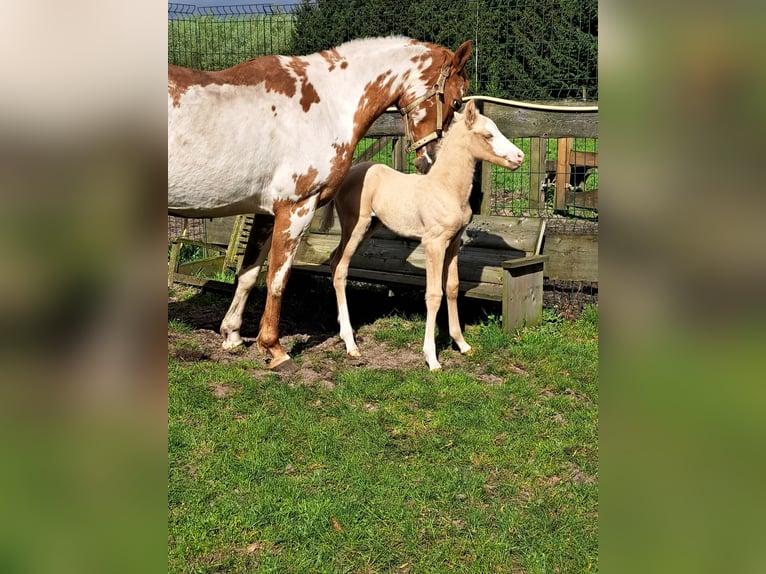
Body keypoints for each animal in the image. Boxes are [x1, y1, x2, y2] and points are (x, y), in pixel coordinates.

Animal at [168, 36, 474, 372]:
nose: (430, 160)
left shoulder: (266, 213)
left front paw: (232, 335)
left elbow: (249, 274)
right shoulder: (296, 208)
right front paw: (275, 349)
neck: (326, 105)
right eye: (456, 101)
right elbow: (278, 279)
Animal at [324, 100, 528, 372]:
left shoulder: (453, 243)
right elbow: (433, 295)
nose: (520, 157)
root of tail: (348, 174)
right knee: (340, 268)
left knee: (335, 261)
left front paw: (462, 344)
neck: (446, 188)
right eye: (488, 135)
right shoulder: (433, 243)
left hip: (368, 228)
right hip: (355, 226)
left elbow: (452, 288)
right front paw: (432, 358)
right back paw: (350, 344)